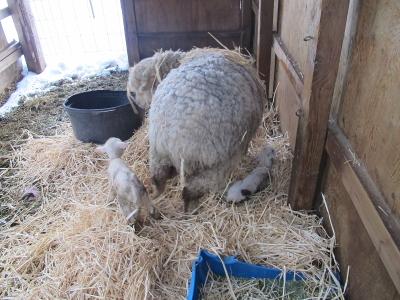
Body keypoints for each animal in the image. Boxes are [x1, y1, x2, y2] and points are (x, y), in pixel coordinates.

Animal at [126, 49, 268, 212]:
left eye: (139, 90)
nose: (139, 104)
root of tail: (175, 137)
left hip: (158, 152)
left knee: (158, 178)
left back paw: (155, 194)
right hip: (216, 164)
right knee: (191, 190)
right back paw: (192, 210)